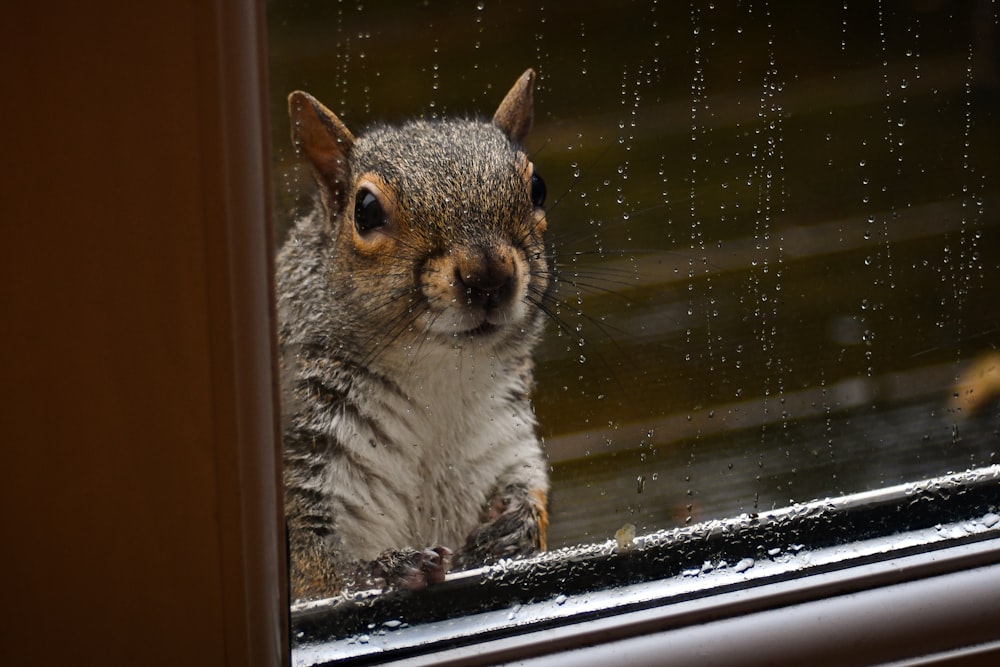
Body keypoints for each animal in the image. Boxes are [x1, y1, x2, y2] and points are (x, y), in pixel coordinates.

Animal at [278, 70, 552, 604]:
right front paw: (387, 570)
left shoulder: (506, 439)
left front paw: (514, 528)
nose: (488, 276)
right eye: (364, 210)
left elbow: (528, 490)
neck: (436, 374)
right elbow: (314, 571)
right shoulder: (305, 453)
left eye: (536, 187)